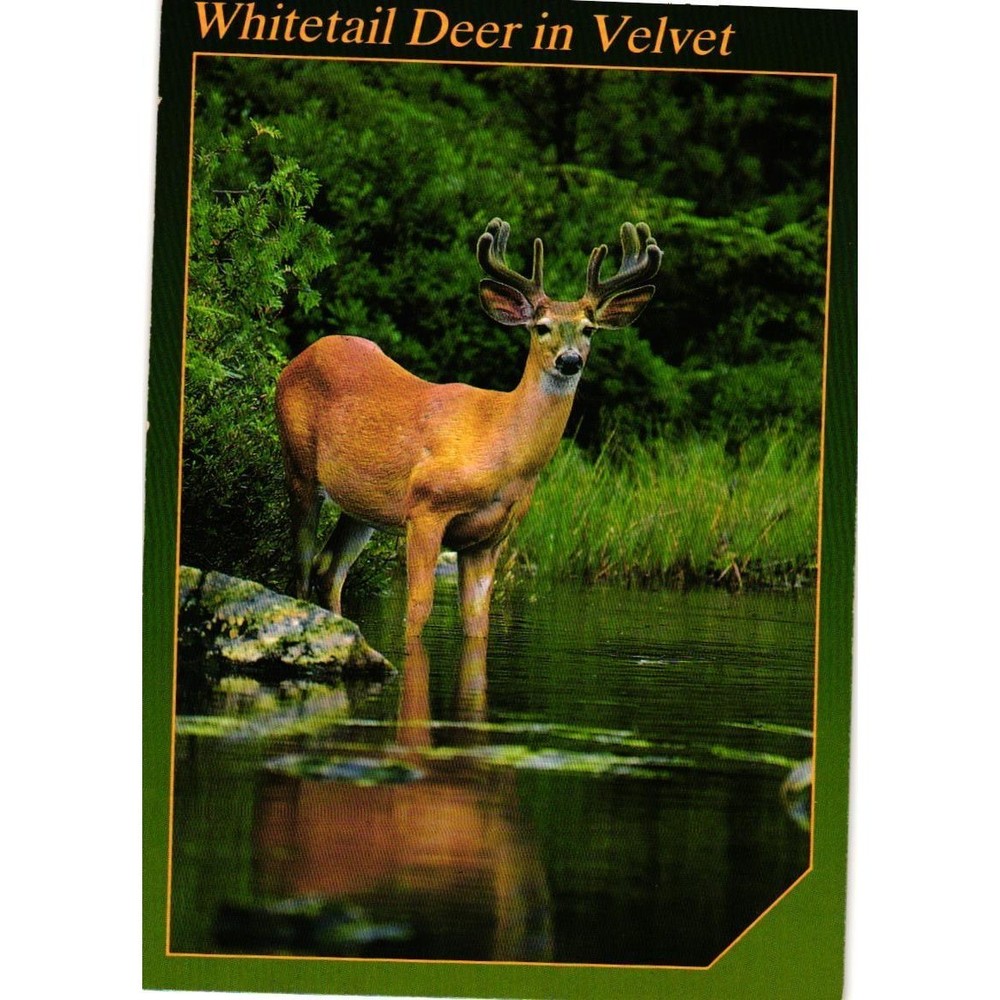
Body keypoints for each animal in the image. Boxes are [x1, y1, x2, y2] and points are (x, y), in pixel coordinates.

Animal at [275, 218, 661, 648]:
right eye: (541, 327)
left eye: (589, 330)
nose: (570, 360)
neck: (503, 448)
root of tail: (297, 360)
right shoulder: (426, 506)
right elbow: (417, 610)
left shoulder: (489, 540)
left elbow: (478, 625)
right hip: (299, 467)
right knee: (301, 569)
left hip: (362, 507)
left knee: (329, 570)